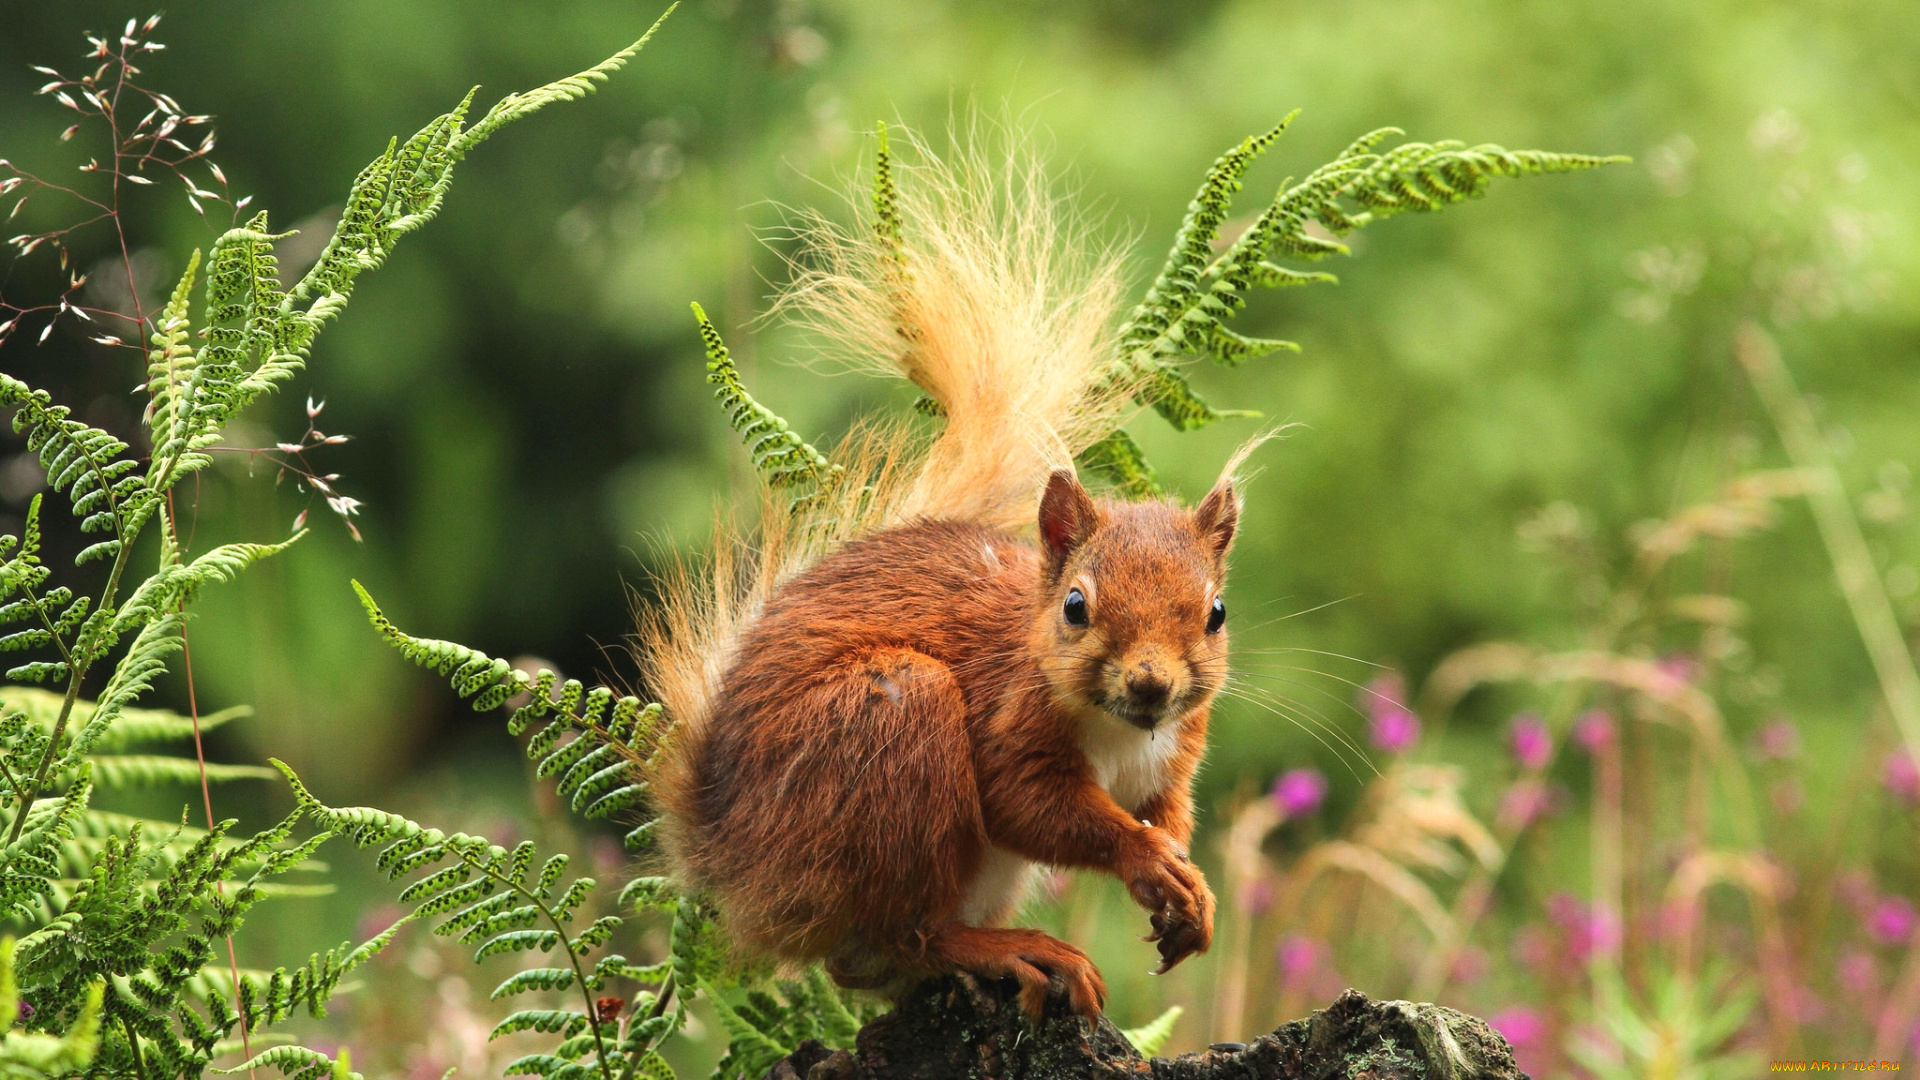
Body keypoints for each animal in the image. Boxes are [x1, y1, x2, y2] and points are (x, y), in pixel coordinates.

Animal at [637, 127, 1251, 1014]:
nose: (1151, 684)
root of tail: (731, 869)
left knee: (869, 962)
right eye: (1075, 607)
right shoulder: (1008, 720)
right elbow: (1034, 809)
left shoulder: (1172, 755)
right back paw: (1017, 950)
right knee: (905, 935)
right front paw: (1143, 859)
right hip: (891, 731)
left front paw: (1188, 889)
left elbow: (1166, 813)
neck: (1119, 730)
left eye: (1215, 614)